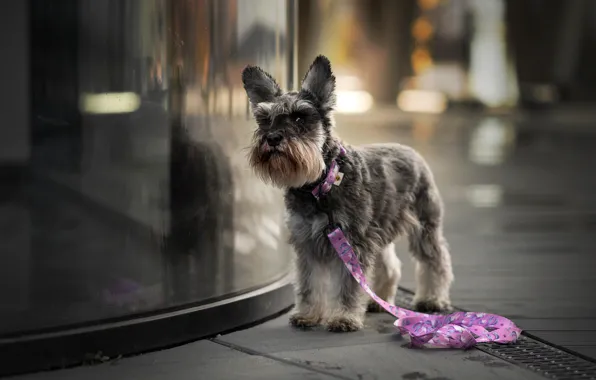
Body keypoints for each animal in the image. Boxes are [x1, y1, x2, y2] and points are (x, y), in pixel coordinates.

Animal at [241, 55, 452, 332]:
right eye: (265, 119)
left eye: (299, 118)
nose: (273, 138)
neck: (321, 185)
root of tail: (411, 151)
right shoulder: (308, 244)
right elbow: (309, 284)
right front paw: (308, 314)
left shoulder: (352, 242)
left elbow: (347, 286)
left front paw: (344, 317)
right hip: (381, 229)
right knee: (391, 266)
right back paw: (378, 300)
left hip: (425, 226)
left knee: (435, 262)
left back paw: (432, 299)